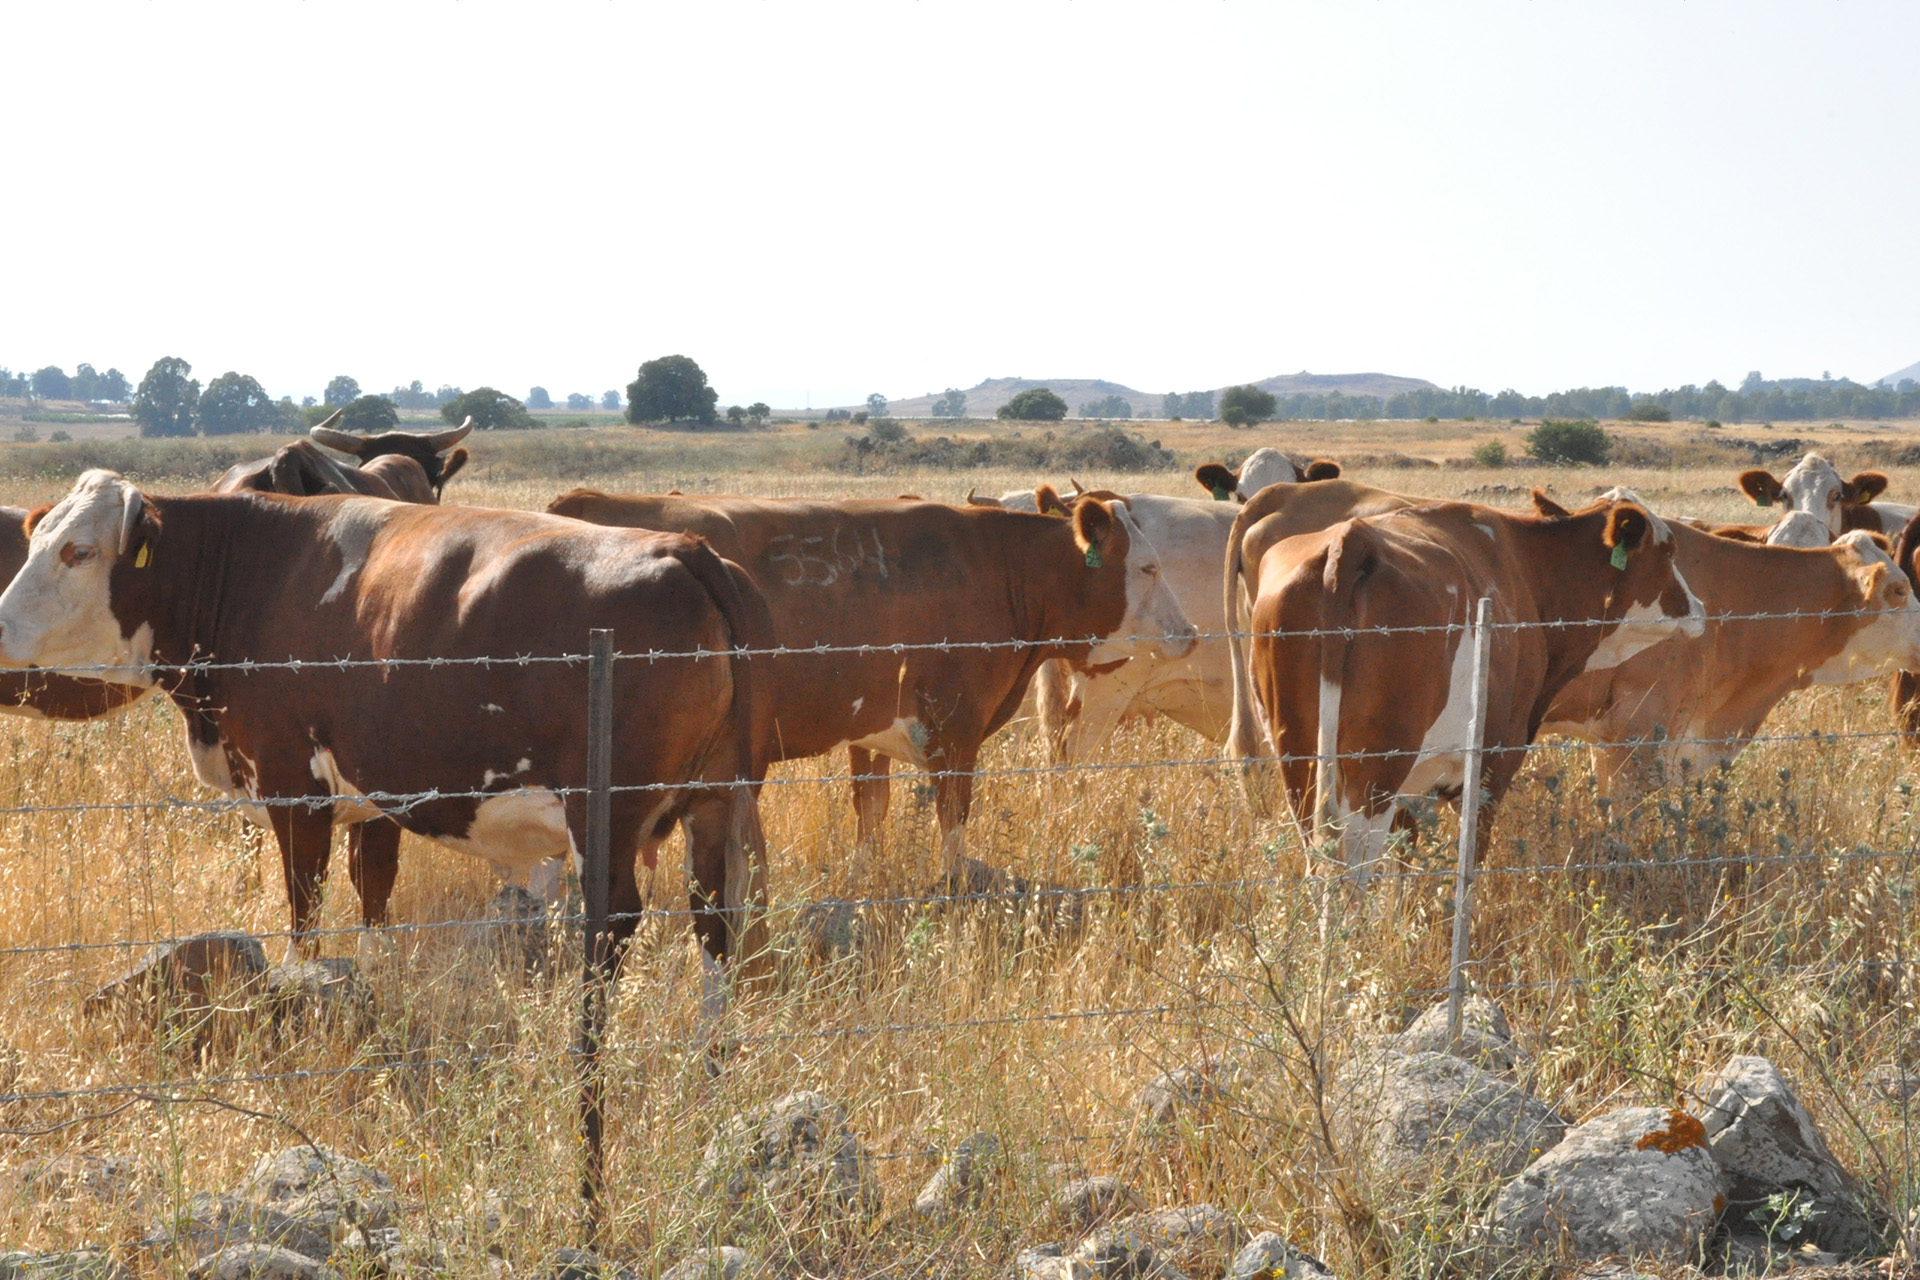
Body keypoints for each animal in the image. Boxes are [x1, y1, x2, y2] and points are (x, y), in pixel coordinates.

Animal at [0, 474, 771, 982]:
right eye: (35, 541)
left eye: (78, 551)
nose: (0, 631)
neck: (247, 572)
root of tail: (681, 546)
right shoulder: (373, 793)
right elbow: (373, 895)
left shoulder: (294, 784)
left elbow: (305, 913)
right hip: (713, 799)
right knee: (714, 926)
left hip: (606, 810)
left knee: (613, 924)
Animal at [545, 485, 1198, 886]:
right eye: (1147, 567)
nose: (1190, 633)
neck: (999, 568)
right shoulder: (956, 728)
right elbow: (953, 818)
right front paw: (952, 891)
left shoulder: (870, 732)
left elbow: (871, 811)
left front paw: (864, 878)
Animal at [1221, 491, 1704, 882]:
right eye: (1669, 551)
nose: (1699, 607)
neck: (1528, 570)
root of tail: (1352, 539)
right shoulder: (1495, 759)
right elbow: (1469, 855)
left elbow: (1405, 857)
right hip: (1376, 768)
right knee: (1353, 858)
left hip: (1298, 757)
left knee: (1318, 847)